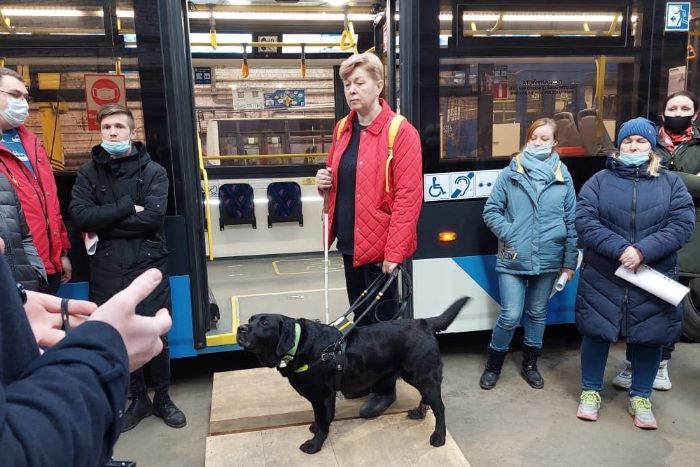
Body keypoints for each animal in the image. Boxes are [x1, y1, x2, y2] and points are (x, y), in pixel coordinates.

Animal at [236, 297, 469, 454]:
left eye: (264, 323)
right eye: (250, 319)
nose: (240, 328)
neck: (299, 344)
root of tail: (423, 322)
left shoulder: (322, 396)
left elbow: (323, 421)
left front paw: (315, 444)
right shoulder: (322, 398)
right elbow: (321, 418)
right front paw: (315, 429)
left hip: (423, 375)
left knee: (440, 407)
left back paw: (438, 436)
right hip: (416, 376)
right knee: (427, 398)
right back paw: (419, 412)